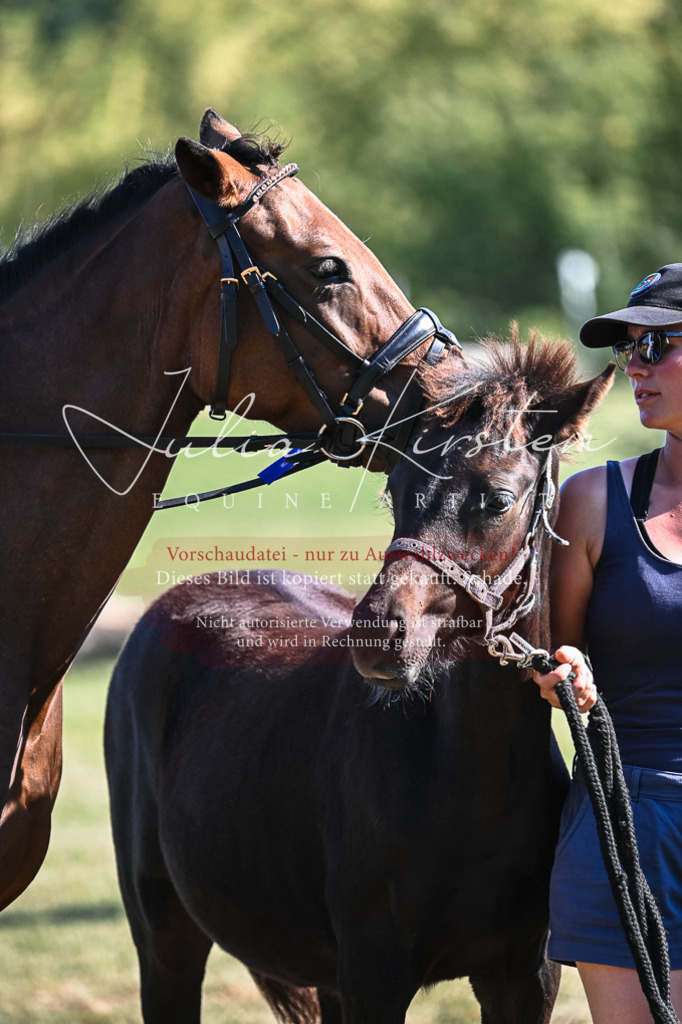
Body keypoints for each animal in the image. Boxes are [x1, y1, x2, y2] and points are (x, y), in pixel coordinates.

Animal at [104, 335, 614, 1024]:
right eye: (396, 489)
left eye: (498, 499)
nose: (378, 634)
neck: (474, 775)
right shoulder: (374, 973)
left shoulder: (525, 978)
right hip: (166, 939)